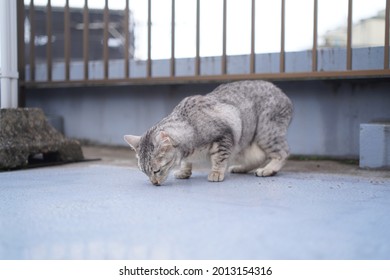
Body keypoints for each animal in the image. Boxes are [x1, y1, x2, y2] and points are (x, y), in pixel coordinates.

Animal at [125, 80, 292, 185]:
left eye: (157, 170)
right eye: (144, 172)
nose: (154, 183)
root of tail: (285, 97)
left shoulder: (224, 136)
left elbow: (219, 158)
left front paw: (216, 173)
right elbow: (186, 162)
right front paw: (184, 172)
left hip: (266, 132)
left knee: (283, 152)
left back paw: (268, 169)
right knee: (258, 157)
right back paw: (240, 168)